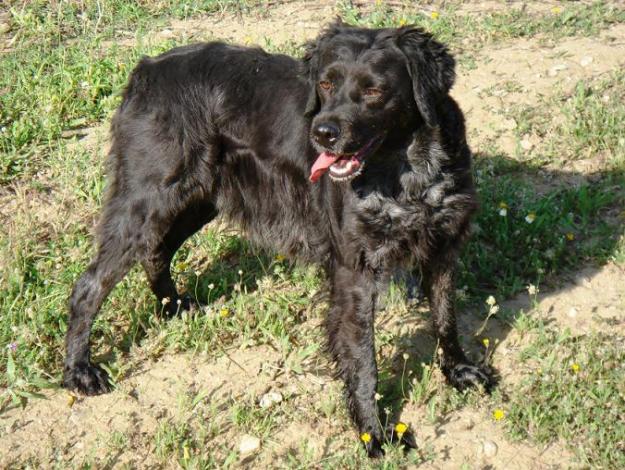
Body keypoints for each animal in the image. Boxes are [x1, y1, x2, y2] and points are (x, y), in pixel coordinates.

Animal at [64, 21, 492, 456]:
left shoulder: (443, 247)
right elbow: (363, 359)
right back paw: (79, 371)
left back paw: (173, 306)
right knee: (90, 284)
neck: (409, 175)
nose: (322, 133)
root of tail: (146, 69)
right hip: (148, 199)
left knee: (158, 250)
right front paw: (374, 433)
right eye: (325, 83)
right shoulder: (354, 270)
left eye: (374, 90)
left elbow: (445, 318)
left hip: (199, 198)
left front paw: (459, 370)